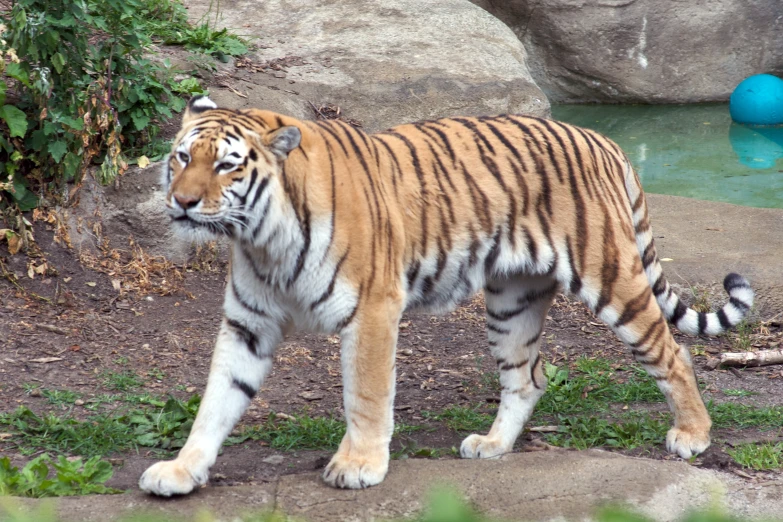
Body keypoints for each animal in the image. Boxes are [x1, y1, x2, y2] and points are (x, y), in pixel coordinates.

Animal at [139, 95, 752, 494]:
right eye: (182, 157)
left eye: (227, 165)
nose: (182, 202)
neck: (262, 237)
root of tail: (603, 139)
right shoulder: (249, 322)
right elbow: (216, 401)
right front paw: (181, 470)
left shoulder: (373, 309)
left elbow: (365, 396)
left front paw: (359, 465)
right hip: (511, 302)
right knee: (527, 378)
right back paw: (493, 446)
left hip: (612, 279)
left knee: (671, 351)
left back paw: (692, 436)